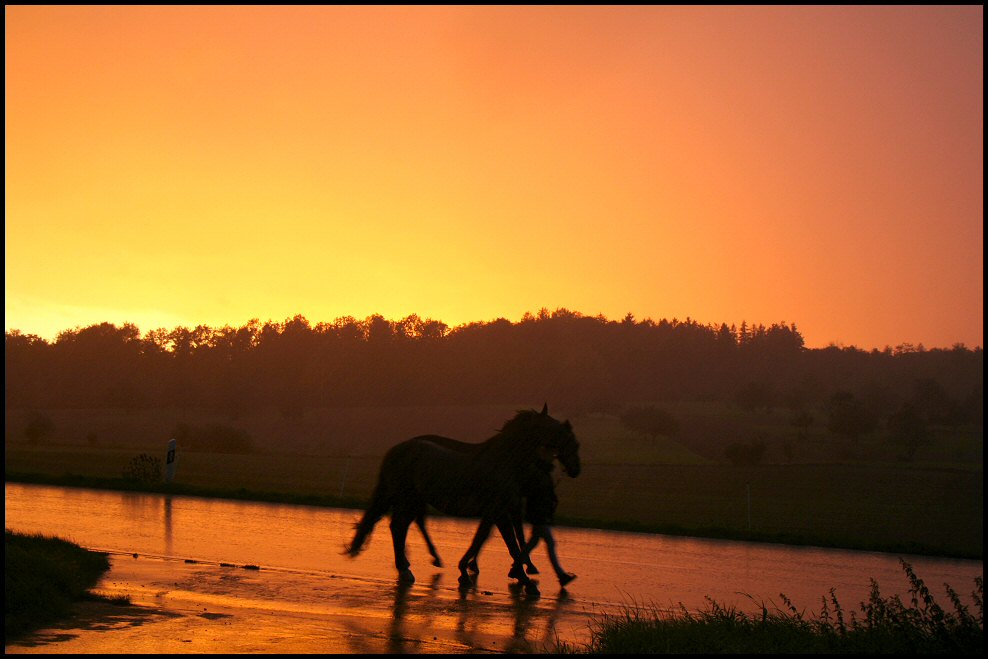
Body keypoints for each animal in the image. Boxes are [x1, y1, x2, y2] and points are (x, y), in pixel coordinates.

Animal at [346, 404, 580, 592]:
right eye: (568, 439)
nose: (576, 469)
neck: (505, 464)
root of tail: (397, 449)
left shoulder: (496, 512)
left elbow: (485, 538)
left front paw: (468, 571)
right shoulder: (501, 512)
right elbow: (512, 544)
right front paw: (526, 581)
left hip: (412, 500)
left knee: (403, 526)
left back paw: (414, 564)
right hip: (406, 499)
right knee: (399, 527)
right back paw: (407, 569)